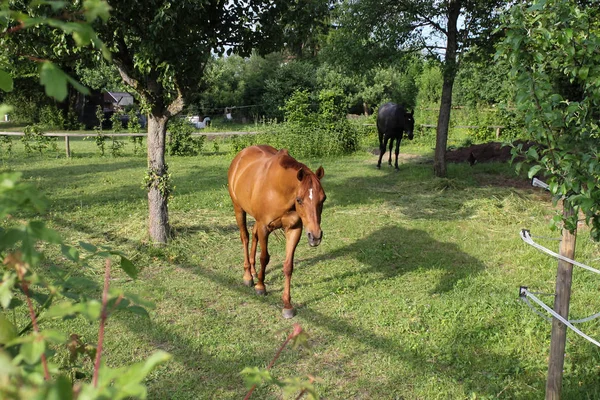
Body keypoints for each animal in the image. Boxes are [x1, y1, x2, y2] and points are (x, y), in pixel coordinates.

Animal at [227, 145, 326, 318]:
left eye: (323, 198)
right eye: (299, 200)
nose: (315, 236)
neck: (279, 190)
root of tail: (241, 155)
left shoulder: (294, 229)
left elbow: (288, 266)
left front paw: (287, 305)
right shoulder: (264, 227)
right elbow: (264, 257)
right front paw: (260, 286)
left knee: (253, 236)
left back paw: (253, 271)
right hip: (238, 209)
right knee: (245, 237)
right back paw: (248, 275)